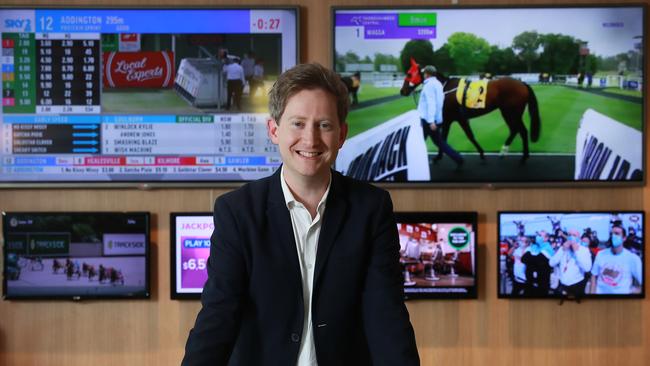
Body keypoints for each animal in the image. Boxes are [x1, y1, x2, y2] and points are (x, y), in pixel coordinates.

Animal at [398, 57, 540, 163]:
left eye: (409, 73)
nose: (402, 91)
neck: (444, 88)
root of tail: (522, 84)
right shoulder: (455, 119)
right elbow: (457, 136)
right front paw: (481, 153)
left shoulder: (453, 118)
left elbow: (456, 137)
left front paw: (438, 157)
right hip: (510, 113)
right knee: (519, 130)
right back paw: (518, 154)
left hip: (510, 113)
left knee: (519, 130)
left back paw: (511, 153)